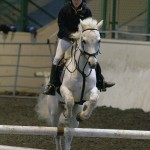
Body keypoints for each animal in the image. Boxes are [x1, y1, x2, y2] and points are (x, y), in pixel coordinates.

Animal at [36, 17, 103, 150]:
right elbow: (70, 100)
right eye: (84, 41)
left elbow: (93, 100)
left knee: (68, 135)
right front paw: (67, 113)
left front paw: (82, 115)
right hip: (54, 112)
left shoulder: (91, 90)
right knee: (56, 133)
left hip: (74, 118)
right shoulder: (64, 89)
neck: (82, 72)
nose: (93, 63)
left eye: (99, 41)